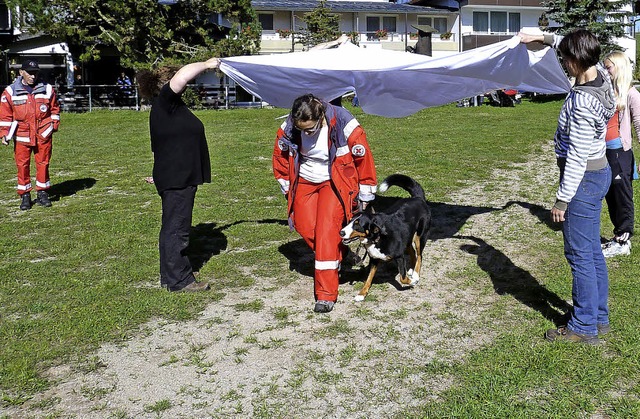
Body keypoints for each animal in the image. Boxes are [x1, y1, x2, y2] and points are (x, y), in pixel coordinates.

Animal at [340, 174, 430, 302]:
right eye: (349, 221)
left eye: (357, 224)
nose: (341, 232)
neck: (377, 238)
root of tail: (417, 198)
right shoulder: (374, 259)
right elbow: (368, 278)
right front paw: (362, 294)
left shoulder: (399, 257)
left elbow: (402, 278)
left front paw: (412, 281)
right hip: (407, 238)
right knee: (413, 252)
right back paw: (411, 270)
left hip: (420, 236)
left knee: (420, 256)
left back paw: (416, 275)